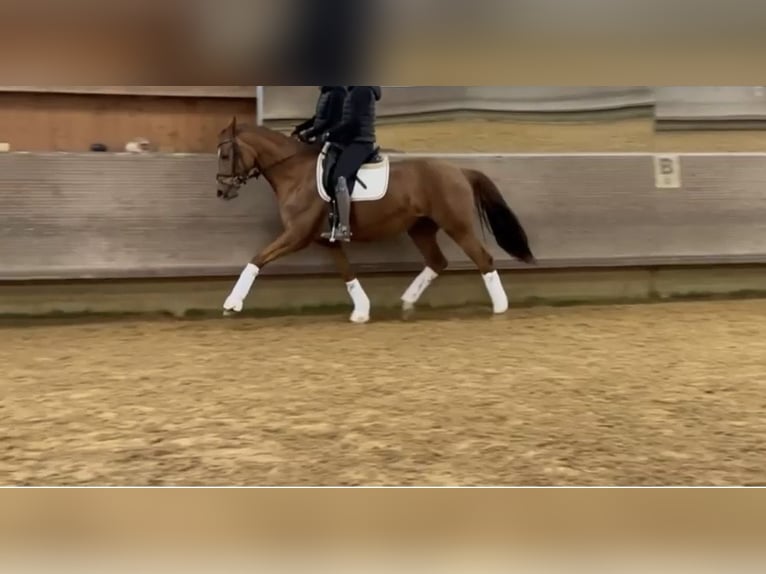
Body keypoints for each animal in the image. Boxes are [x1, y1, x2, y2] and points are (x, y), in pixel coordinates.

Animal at [215, 117, 535, 323]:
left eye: (226, 153)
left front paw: (232, 303)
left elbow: (258, 258)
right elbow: (347, 273)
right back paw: (406, 302)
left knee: (483, 259)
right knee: (437, 261)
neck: (295, 172)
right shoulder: (327, 240)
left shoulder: (297, 234)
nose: (222, 191)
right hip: (421, 229)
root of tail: (460, 170)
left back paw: (500, 308)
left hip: (457, 226)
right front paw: (361, 311)